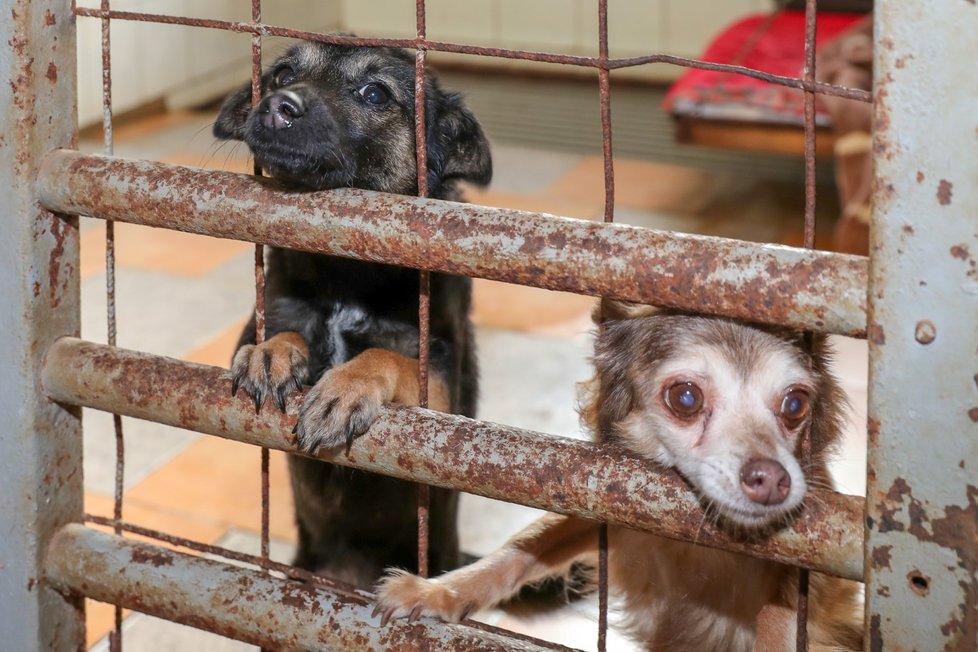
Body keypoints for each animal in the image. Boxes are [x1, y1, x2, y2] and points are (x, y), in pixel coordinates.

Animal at [213, 42, 488, 592]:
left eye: (374, 93)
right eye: (283, 73)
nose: (276, 106)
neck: (347, 272)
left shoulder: (444, 396)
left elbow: (387, 356)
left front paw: (345, 388)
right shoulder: (262, 319)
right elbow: (281, 333)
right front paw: (273, 355)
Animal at [378, 304, 856, 652]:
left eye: (795, 405)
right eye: (686, 398)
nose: (772, 478)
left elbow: (779, 616)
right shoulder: (613, 512)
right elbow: (519, 552)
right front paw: (436, 591)